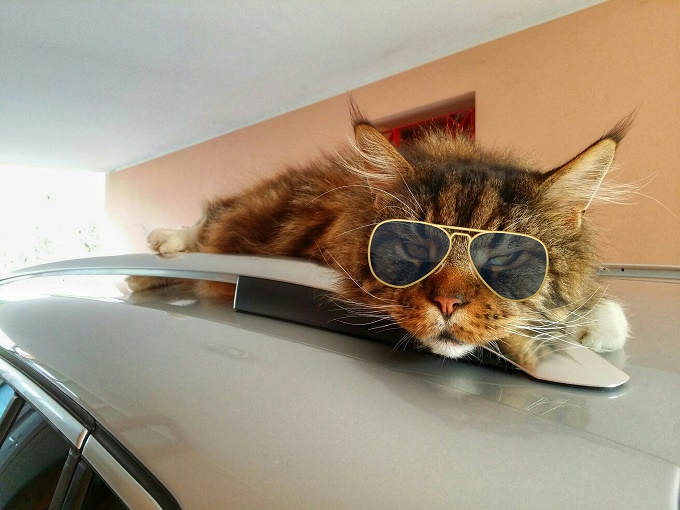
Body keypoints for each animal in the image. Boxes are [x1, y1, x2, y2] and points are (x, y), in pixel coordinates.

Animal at [126, 109, 628, 368]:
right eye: (416, 246)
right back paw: (157, 252)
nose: (448, 303)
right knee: (206, 227)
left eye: (503, 259)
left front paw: (596, 323)